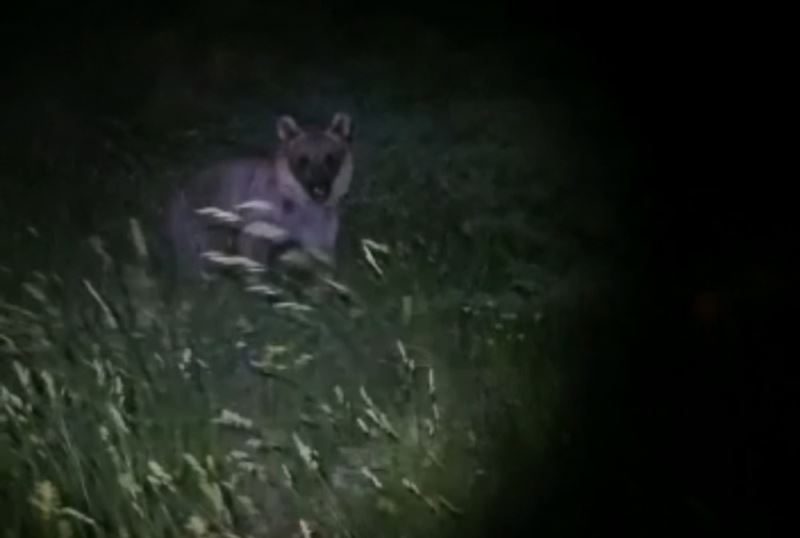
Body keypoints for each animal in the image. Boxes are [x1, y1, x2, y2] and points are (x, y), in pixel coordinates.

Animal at [165, 112, 354, 280]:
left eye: (330, 159)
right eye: (303, 160)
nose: (320, 189)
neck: (304, 201)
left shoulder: (320, 228)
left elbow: (322, 258)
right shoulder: (260, 214)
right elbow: (254, 252)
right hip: (194, 224)